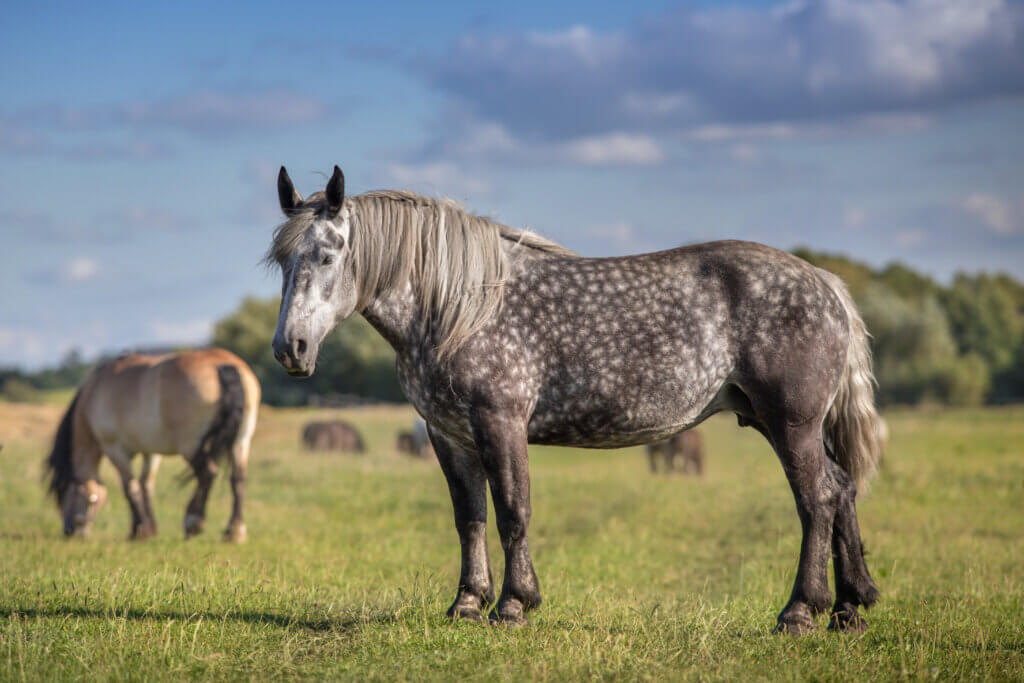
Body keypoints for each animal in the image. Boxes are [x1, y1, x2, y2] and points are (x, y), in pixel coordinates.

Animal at [44, 349, 260, 542]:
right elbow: (146, 484)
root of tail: (223, 365)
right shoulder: (151, 451)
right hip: (241, 441)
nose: (69, 531)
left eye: (64, 495)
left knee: (208, 473)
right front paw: (150, 528)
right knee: (238, 479)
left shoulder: (114, 448)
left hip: (190, 445)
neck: (95, 392)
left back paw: (193, 522)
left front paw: (139, 530)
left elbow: (130, 487)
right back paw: (235, 531)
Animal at [266, 165, 882, 634]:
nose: (289, 348)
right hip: (784, 425)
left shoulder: (500, 422)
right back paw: (850, 608)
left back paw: (800, 611)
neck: (461, 307)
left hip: (792, 424)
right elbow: (470, 517)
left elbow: (513, 510)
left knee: (817, 500)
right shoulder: (449, 435)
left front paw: (514, 604)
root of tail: (826, 284)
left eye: (328, 256)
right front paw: (467, 604)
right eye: (282, 260)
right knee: (842, 489)